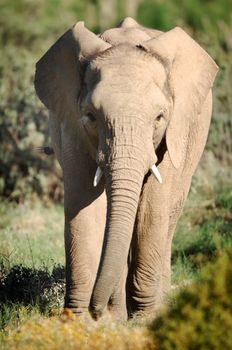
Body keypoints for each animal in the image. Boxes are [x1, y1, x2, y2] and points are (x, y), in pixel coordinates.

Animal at [34, 18, 218, 320]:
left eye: (159, 117)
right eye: (91, 116)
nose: (98, 309)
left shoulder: (173, 132)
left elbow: (151, 208)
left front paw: (146, 318)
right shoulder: (71, 125)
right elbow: (82, 205)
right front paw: (80, 320)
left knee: (167, 218)